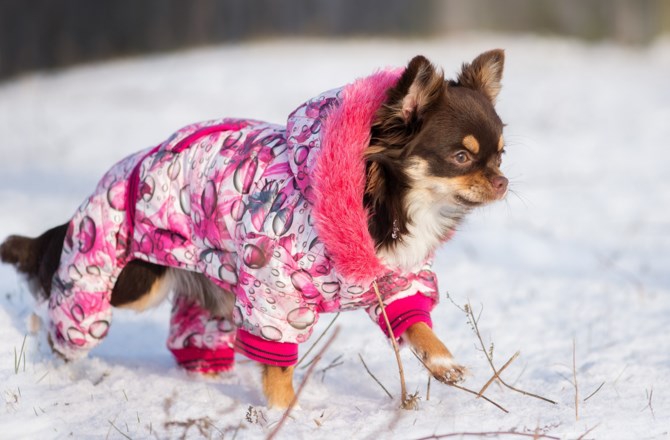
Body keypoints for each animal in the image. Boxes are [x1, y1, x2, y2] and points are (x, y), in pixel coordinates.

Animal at [0, 49, 510, 410]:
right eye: (461, 157)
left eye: (501, 154)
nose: (504, 181)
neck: (381, 203)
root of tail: (118, 176)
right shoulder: (275, 291)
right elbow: (278, 363)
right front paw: (285, 414)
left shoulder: (390, 277)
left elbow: (415, 323)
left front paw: (443, 362)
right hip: (129, 280)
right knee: (61, 309)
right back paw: (49, 354)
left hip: (207, 282)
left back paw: (207, 375)